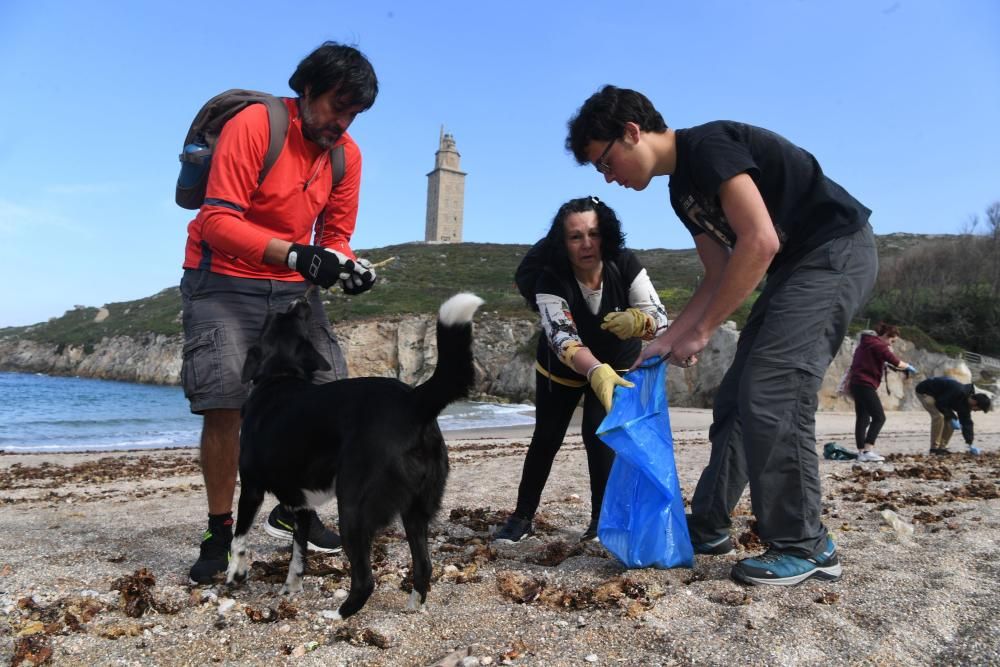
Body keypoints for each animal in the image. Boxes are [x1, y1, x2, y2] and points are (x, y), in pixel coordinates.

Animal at [230, 292, 488, 620]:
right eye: (294, 320)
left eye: (276, 317)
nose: (301, 301)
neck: (281, 375)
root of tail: (413, 401)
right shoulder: (301, 507)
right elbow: (298, 554)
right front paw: (291, 587)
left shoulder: (251, 488)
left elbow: (239, 536)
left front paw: (235, 573)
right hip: (415, 509)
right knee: (424, 565)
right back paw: (413, 606)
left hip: (353, 507)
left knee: (365, 579)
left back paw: (337, 615)